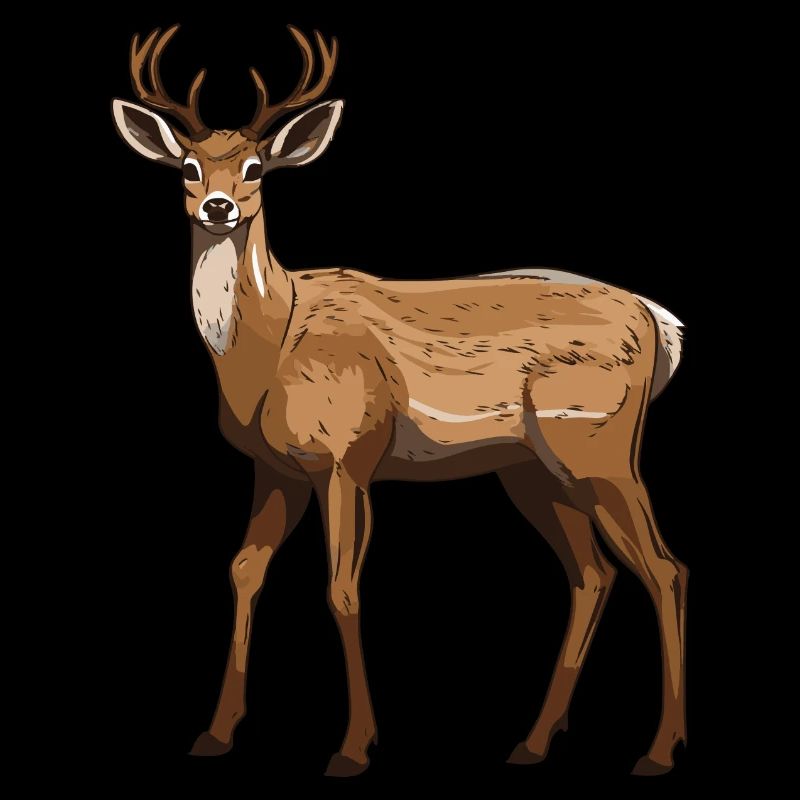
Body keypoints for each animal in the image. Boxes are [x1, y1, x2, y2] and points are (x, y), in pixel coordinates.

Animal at [112, 24, 688, 777]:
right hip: (533, 469)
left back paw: (660, 750)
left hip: (600, 446)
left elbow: (342, 586)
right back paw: (532, 742)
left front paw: (354, 747)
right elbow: (242, 570)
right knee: (593, 574)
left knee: (665, 569)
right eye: (186, 166)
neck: (270, 346)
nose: (218, 206)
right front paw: (214, 733)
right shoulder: (274, 468)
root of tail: (661, 323)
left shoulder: (346, 454)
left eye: (257, 168)